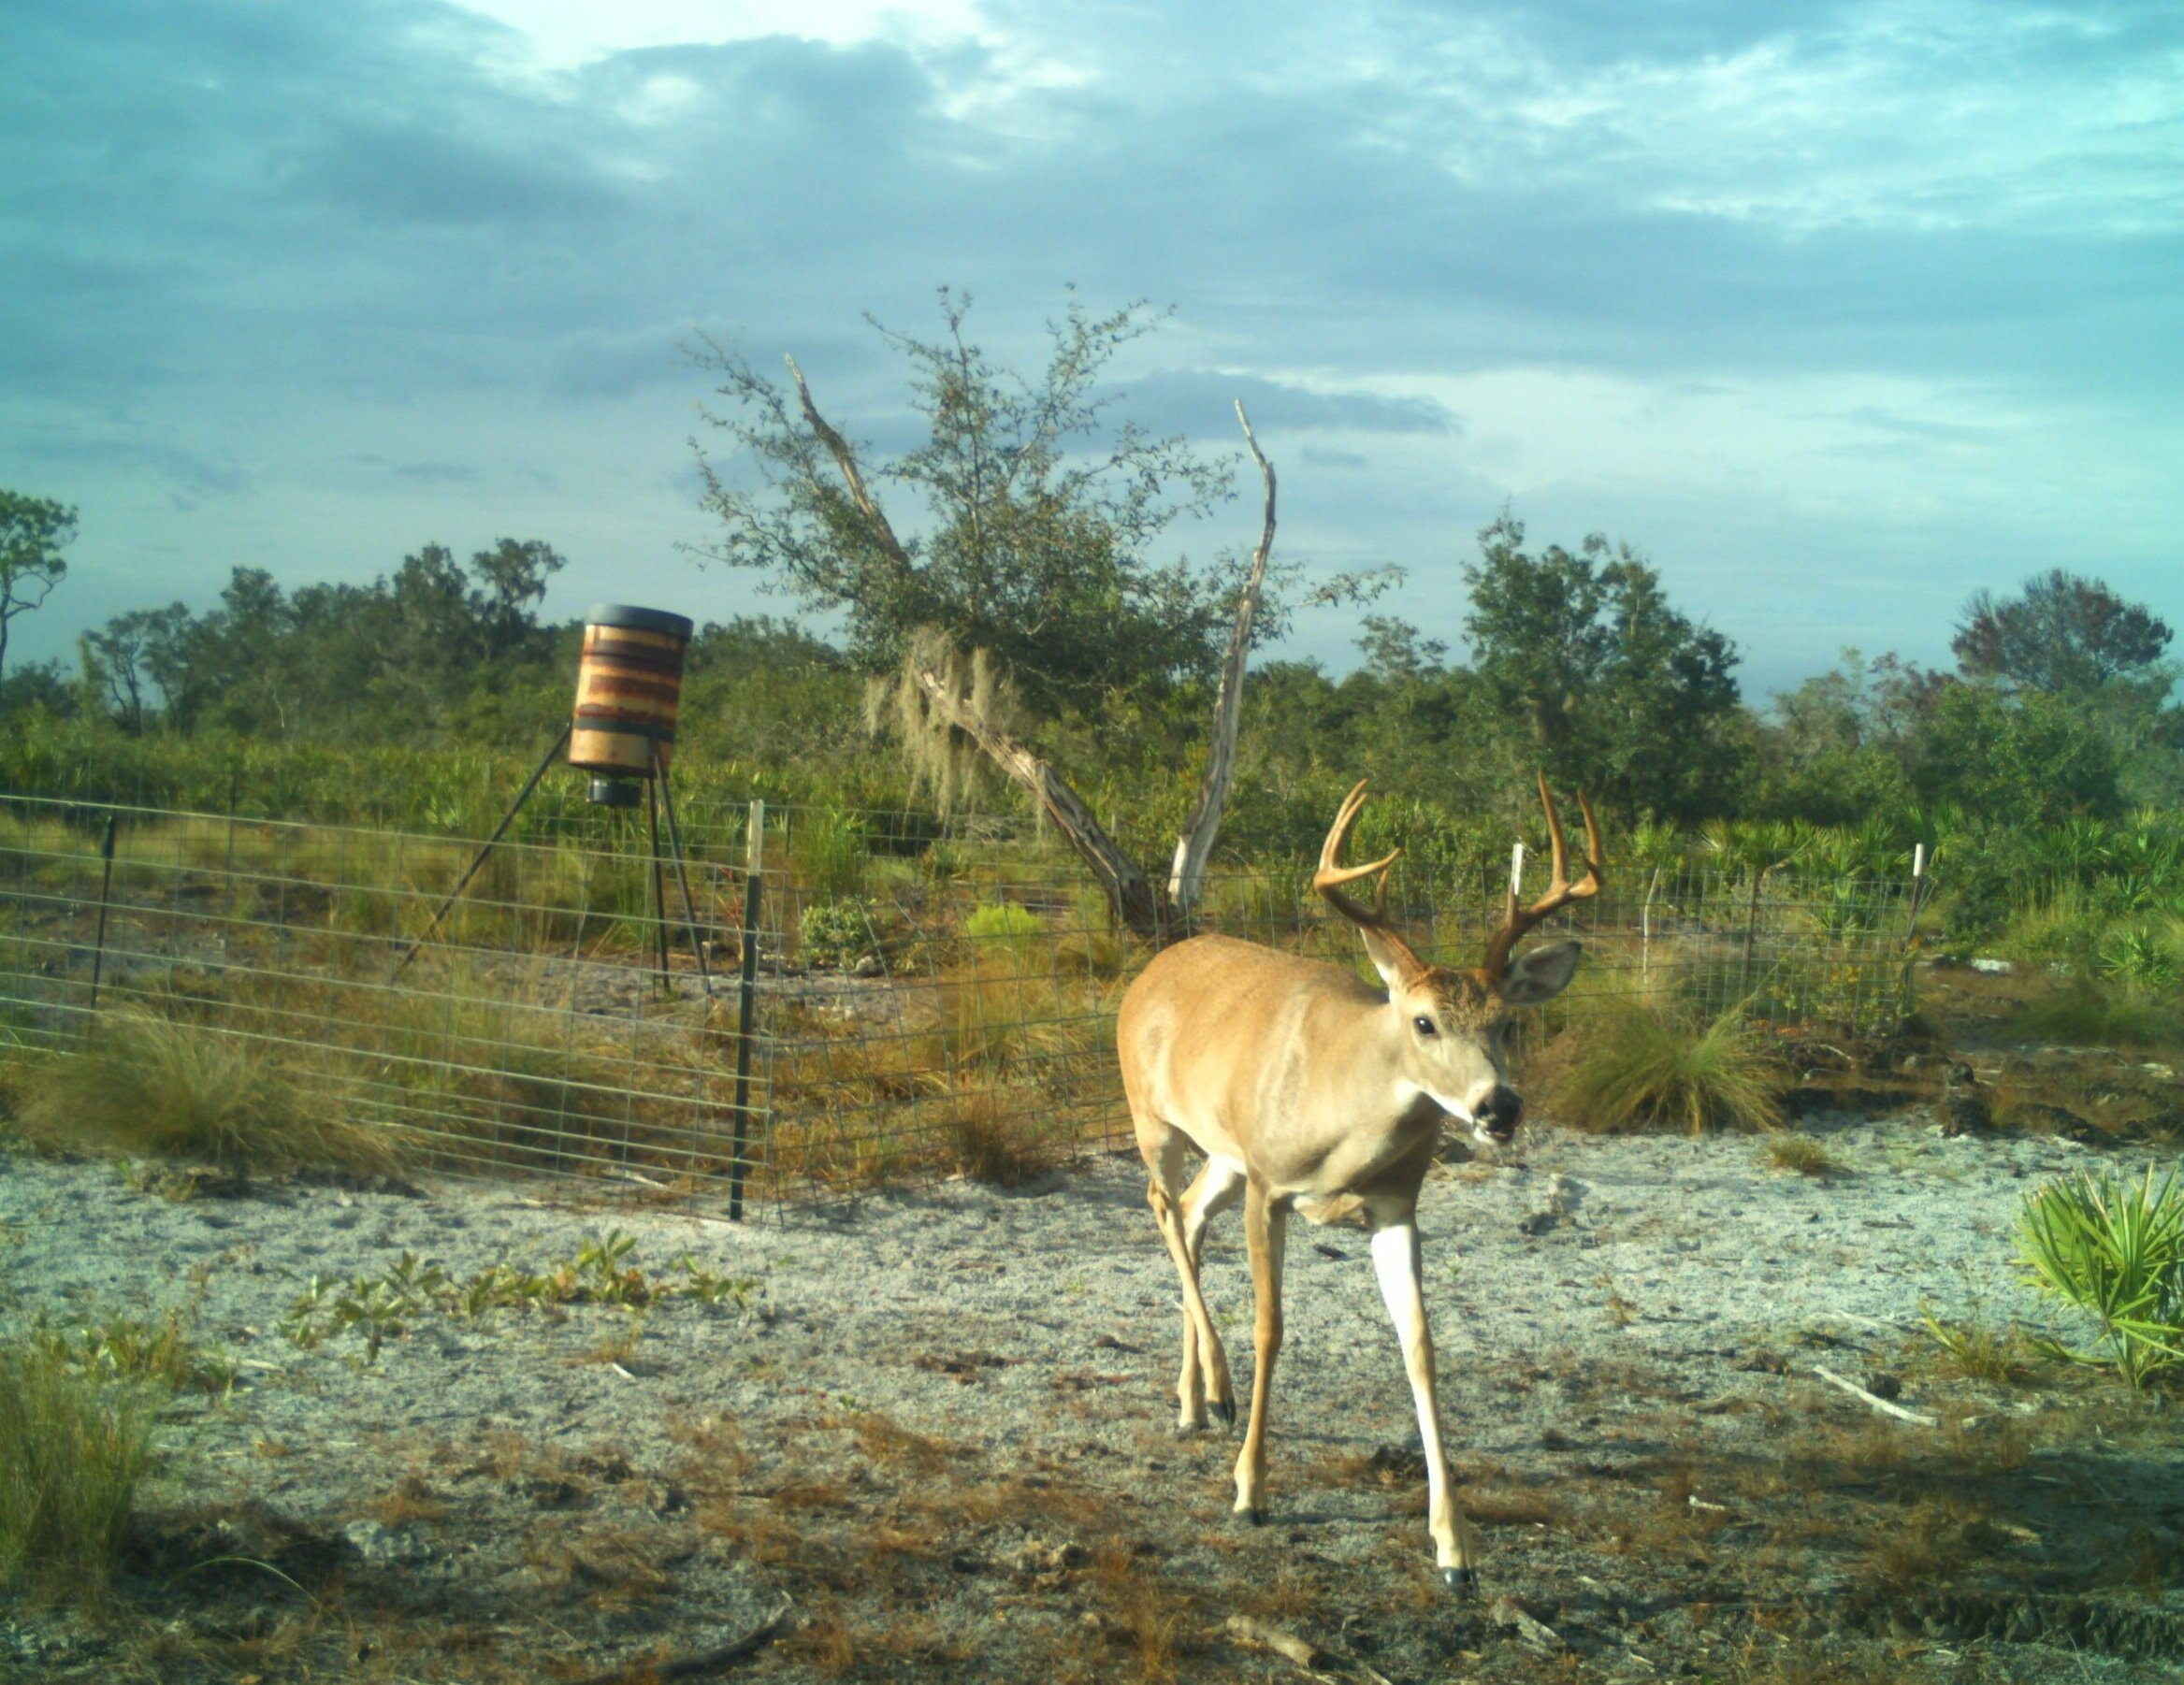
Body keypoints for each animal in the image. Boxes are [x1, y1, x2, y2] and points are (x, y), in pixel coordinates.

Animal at [1116, 773, 1604, 1589]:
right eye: (1423, 1022)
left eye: (1505, 1021)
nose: (1498, 1108)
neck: (1342, 1126)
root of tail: (1151, 969)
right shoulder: (1270, 1185)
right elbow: (1271, 1327)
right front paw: (1250, 1492)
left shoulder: (1395, 1203)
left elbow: (1420, 1346)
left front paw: (1454, 1549)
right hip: (1154, 1117)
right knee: (1160, 1205)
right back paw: (1216, 1388)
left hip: (1224, 1154)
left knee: (1187, 1214)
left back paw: (1191, 1401)